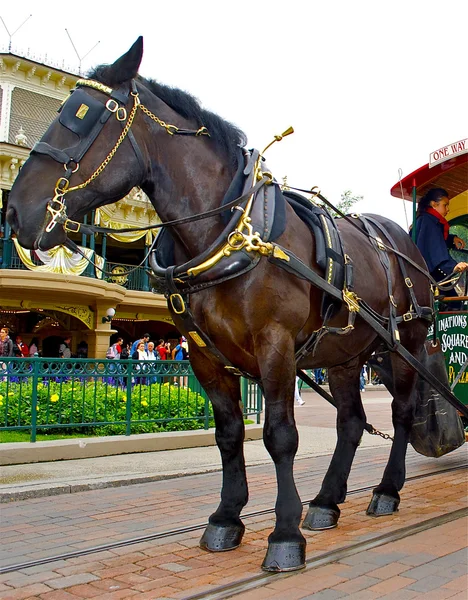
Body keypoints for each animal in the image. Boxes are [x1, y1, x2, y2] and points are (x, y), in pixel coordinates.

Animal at [5, 38, 436, 572]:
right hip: (344, 353)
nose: (15, 211)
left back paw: (386, 491)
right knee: (351, 421)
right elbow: (229, 434)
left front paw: (284, 534)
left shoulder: (275, 346)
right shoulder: (204, 353)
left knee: (400, 414)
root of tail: (401, 239)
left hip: (405, 344)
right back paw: (326, 501)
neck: (224, 233)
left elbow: (280, 435)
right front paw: (227, 518)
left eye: (80, 116)